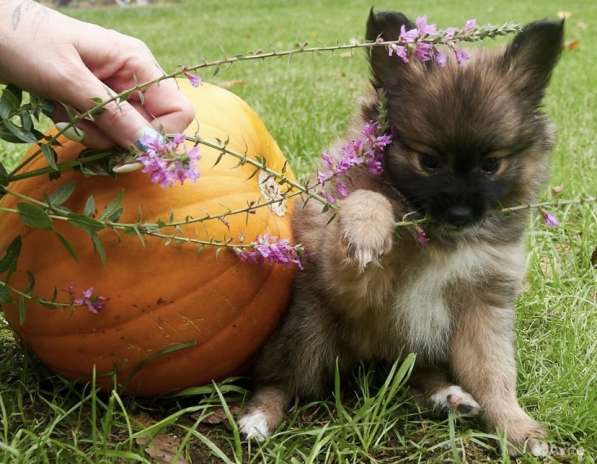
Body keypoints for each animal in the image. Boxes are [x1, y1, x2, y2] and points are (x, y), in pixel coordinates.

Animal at [239, 10, 564, 456]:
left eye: (490, 165)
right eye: (428, 161)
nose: (461, 214)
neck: (439, 238)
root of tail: (368, 359)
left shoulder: (482, 305)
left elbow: (494, 375)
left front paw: (515, 427)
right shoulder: (359, 288)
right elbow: (366, 201)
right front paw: (366, 229)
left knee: (418, 373)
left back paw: (449, 396)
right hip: (307, 329)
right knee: (279, 380)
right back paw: (257, 418)